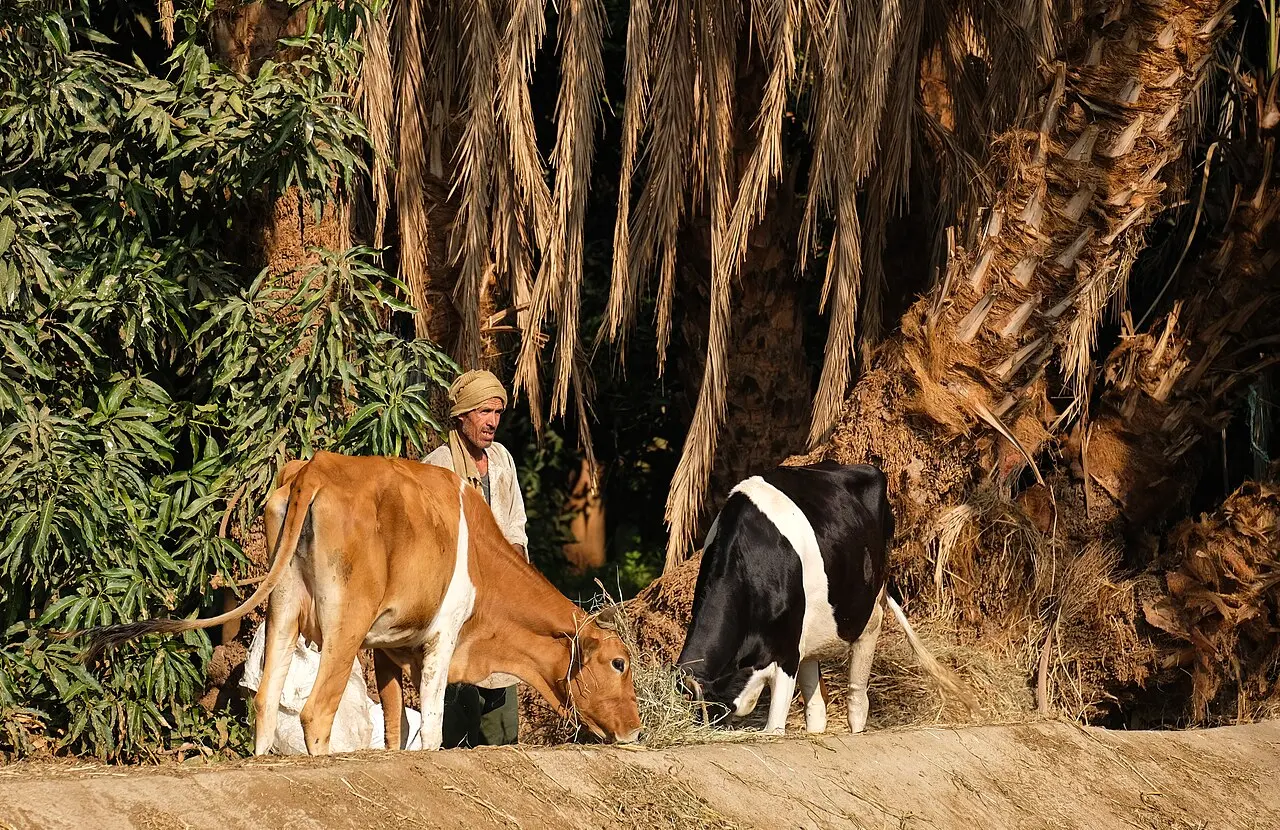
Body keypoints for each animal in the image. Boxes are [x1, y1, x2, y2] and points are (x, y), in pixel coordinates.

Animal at [84, 451, 643, 755]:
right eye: (619, 663)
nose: (636, 730)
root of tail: (318, 467)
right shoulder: (442, 638)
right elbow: (431, 728)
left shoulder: (390, 648)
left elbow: (396, 728)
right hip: (343, 623)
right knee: (316, 711)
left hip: (284, 609)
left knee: (266, 698)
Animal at [677, 461, 978, 735]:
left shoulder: (786, 654)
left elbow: (774, 729)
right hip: (812, 632)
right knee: (816, 705)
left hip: (869, 614)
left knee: (857, 696)